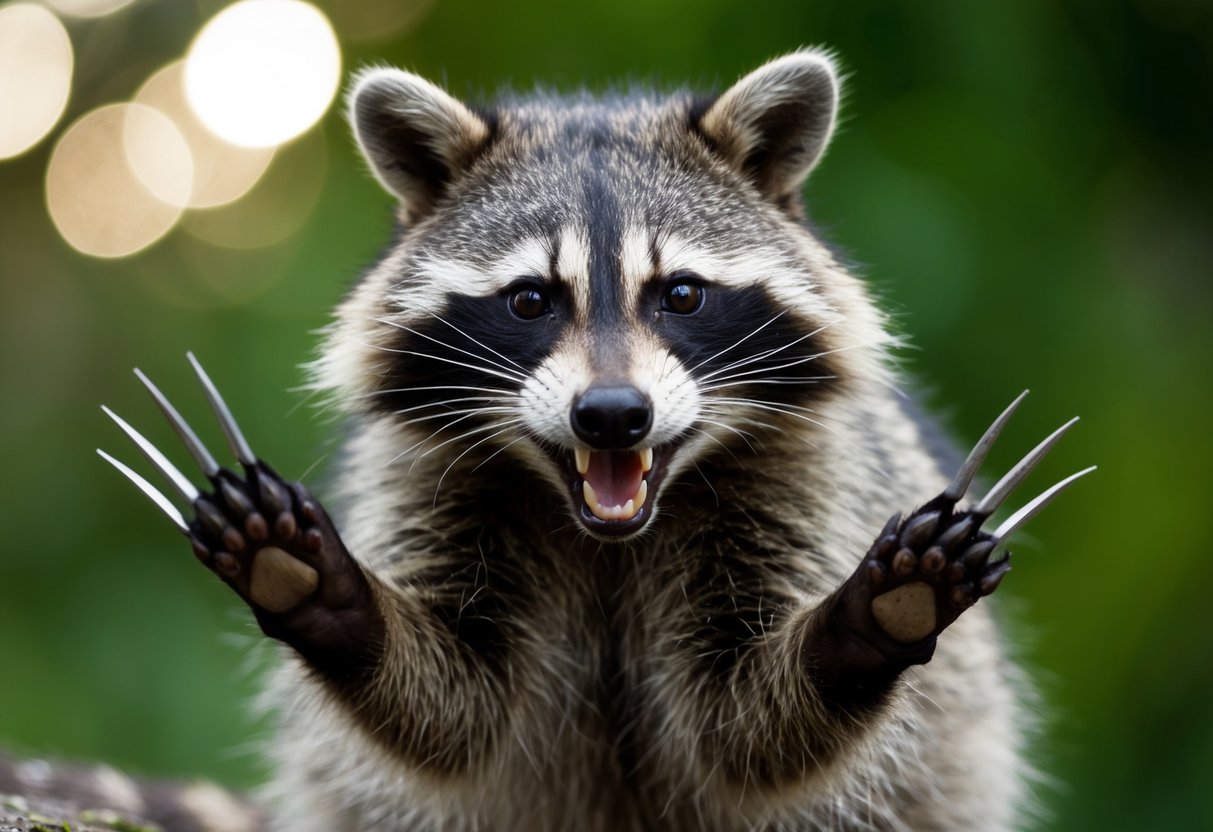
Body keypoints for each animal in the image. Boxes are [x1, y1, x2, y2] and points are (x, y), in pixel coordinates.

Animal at [90, 50, 1093, 831]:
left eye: (680, 294)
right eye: (530, 300)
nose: (611, 414)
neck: (608, 533)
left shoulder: (810, 477)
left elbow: (751, 730)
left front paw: (869, 620)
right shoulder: (424, 479)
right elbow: (452, 713)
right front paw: (321, 589)